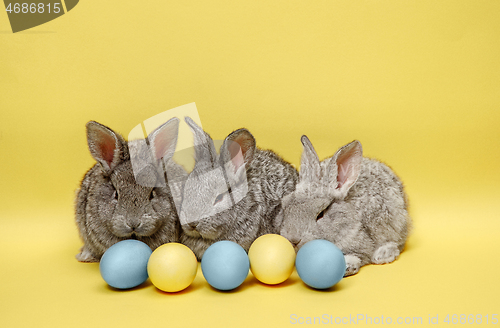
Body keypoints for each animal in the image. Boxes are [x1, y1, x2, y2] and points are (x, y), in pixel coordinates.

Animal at [280, 136, 412, 276]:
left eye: (321, 214)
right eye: (285, 205)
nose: (293, 239)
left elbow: (358, 255)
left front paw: (348, 266)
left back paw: (383, 254)